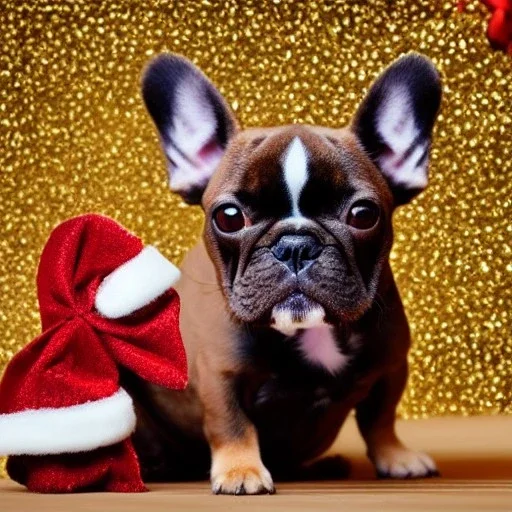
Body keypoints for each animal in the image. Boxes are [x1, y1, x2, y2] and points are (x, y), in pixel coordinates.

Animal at [130, 50, 442, 494]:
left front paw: (396, 455)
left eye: (363, 215)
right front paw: (241, 470)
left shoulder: (392, 365)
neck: (311, 329)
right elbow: (231, 422)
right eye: (228, 217)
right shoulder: (218, 372)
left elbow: (380, 416)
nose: (295, 245)